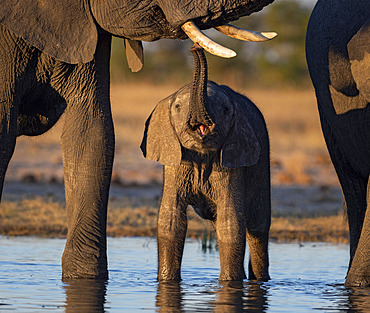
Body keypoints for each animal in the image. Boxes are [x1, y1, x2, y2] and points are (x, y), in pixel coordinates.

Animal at [140, 45, 270, 280]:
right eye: (178, 107)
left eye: (226, 110)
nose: (195, 47)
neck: (200, 154)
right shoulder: (176, 163)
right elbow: (170, 221)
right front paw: (166, 281)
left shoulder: (231, 163)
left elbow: (231, 222)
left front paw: (229, 283)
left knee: (258, 227)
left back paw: (260, 280)